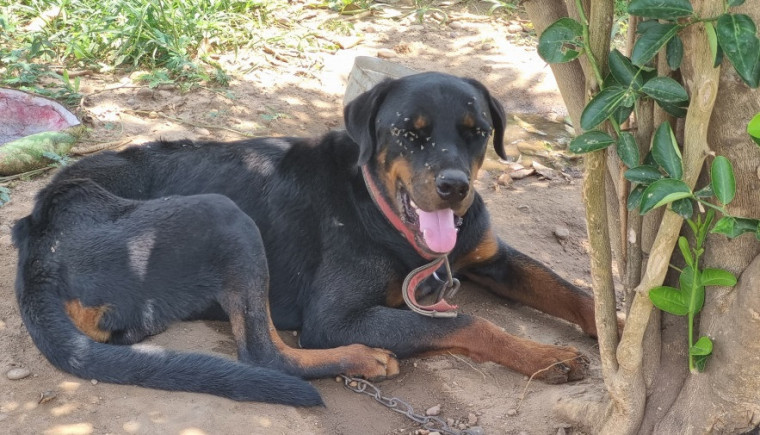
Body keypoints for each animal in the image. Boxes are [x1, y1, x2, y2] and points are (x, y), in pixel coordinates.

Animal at [11, 73, 596, 408]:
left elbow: (573, 291)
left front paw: (609, 323)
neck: (380, 207)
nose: (455, 188)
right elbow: (469, 322)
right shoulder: (334, 318)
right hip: (226, 216)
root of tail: (37, 235)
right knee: (263, 353)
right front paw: (545, 356)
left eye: (478, 132)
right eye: (410, 132)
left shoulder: (491, 257)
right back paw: (361, 359)